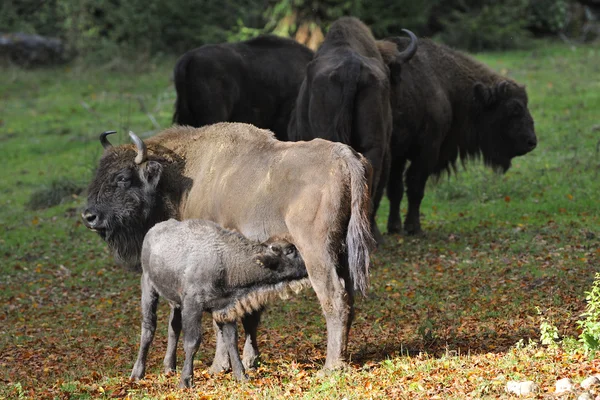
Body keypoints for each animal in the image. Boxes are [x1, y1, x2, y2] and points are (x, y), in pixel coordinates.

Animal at [131, 219, 310, 388]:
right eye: (290, 250)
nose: (308, 265)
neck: (226, 262)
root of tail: (153, 230)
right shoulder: (192, 306)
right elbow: (192, 342)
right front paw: (186, 381)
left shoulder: (226, 309)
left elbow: (231, 340)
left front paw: (241, 376)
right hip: (148, 288)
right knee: (148, 329)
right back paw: (137, 373)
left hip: (174, 302)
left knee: (173, 328)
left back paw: (169, 368)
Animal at [386, 37, 536, 234]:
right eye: (514, 108)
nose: (531, 142)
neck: (446, 84)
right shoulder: (426, 151)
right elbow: (414, 186)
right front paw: (413, 227)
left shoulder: (398, 155)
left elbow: (396, 188)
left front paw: (395, 227)